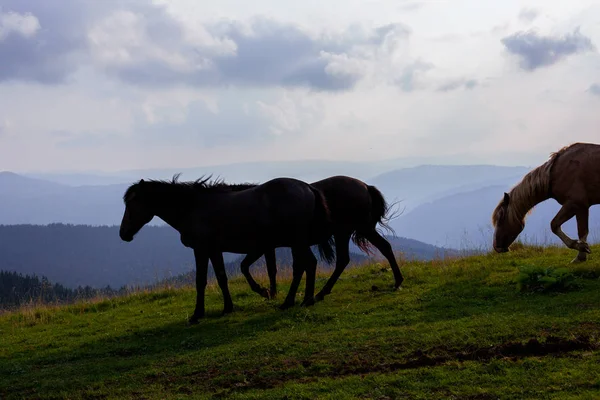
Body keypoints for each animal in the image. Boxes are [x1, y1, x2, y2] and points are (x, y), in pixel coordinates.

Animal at [119, 176, 336, 324]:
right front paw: (228, 308)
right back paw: (296, 301)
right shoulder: (214, 250)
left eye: (132, 203)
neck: (192, 207)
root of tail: (308, 187)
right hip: (297, 242)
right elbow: (222, 278)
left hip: (297, 241)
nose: (123, 233)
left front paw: (197, 314)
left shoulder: (201, 250)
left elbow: (201, 281)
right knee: (304, 266)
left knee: (308, 264)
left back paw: (301, 300)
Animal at [232, 175, 406, 300]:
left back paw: (322, 292)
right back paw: (397, 281)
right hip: (358, 230)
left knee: (346, 258)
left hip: (348, 231)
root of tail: (366, 187)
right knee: (382, 247)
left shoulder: (265, 246)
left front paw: (269, 293)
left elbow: (261, 268)